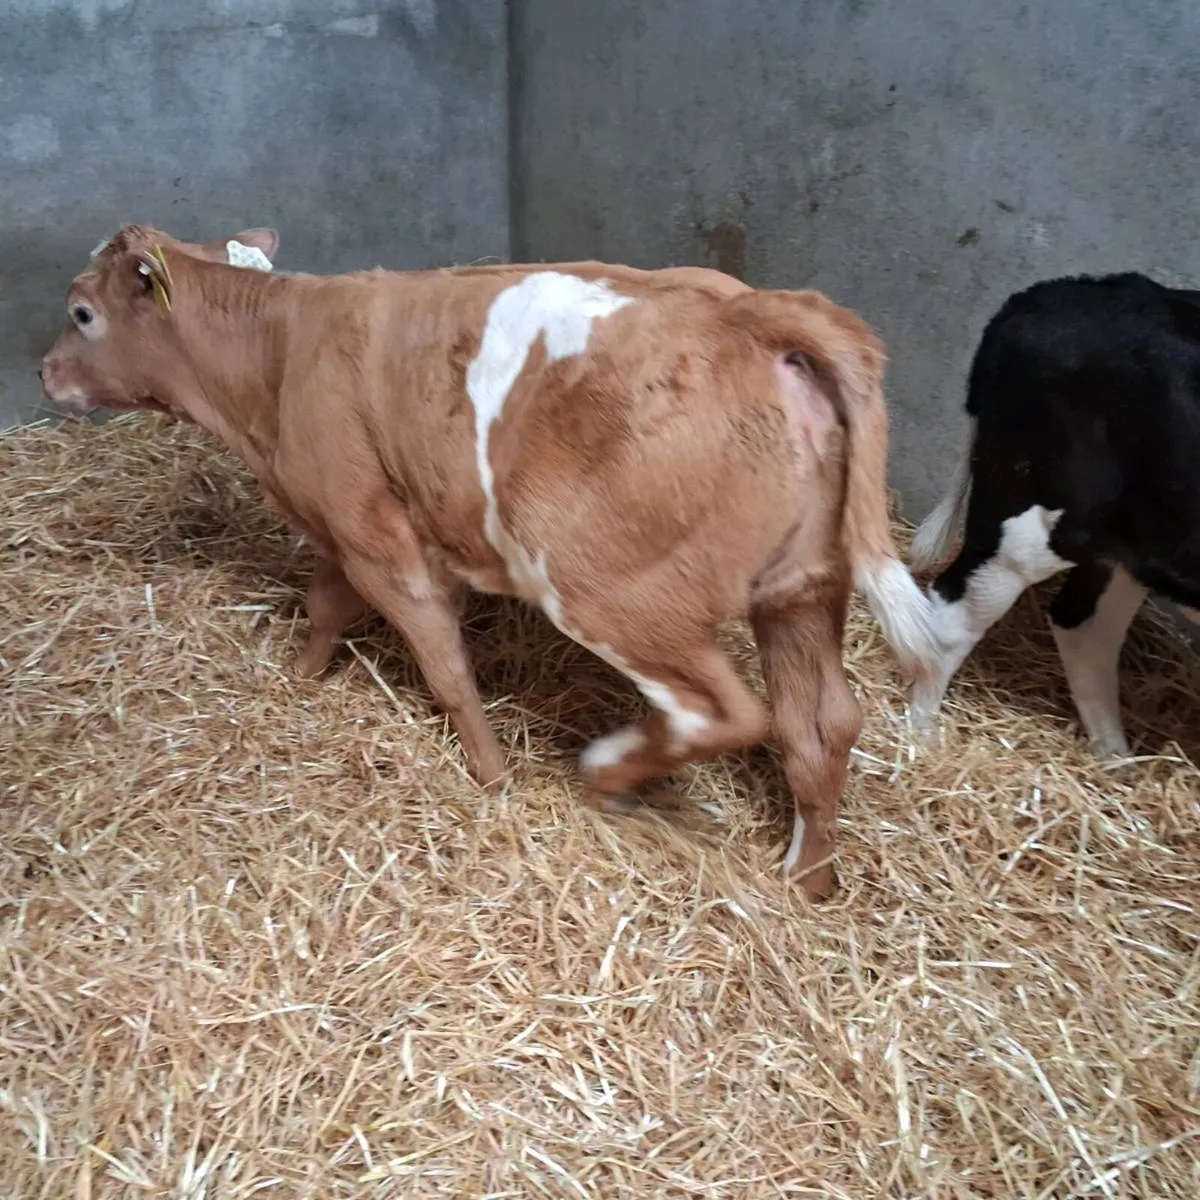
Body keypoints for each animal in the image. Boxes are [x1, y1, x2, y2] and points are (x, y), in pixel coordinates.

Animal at [40, 223, 940, 898]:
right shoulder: (352, 527)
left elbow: (443, 663)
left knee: (723, 711)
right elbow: (327, 605)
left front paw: (490, 775)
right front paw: (301, 676)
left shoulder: (374, 536)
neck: (278, 357)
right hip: (802, 589)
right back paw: (806, 879)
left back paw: (609, 771)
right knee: (821, 725)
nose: (45, 372)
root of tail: (753, 315)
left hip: (607, 590)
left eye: (81, 312)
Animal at [909, 271, 1200, 757]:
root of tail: (1048, 292)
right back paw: (920, 739)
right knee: (955, 611)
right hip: (1029, 523)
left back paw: (1114, 762)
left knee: (1084, 627)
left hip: (1133, 546)